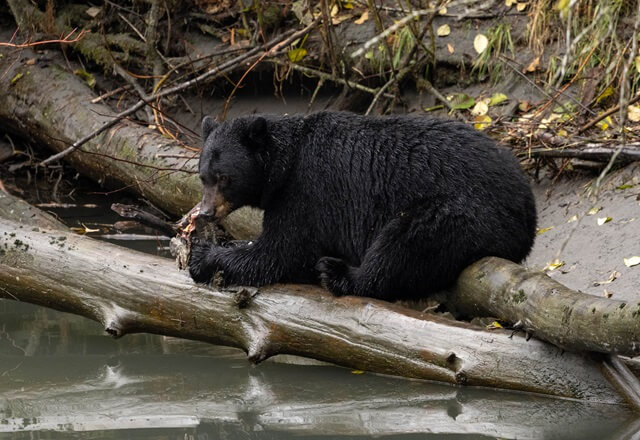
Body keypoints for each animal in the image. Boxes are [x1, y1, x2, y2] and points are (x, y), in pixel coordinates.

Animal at [188, 111, 537, 300]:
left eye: (224, 178)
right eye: (203, 176)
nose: (205, 212)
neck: (286, 164)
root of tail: (527, 203)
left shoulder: (307, 192)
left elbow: (280, 253)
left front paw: (204, 256)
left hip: (465, 212)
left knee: (405, 244)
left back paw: (339, 273)